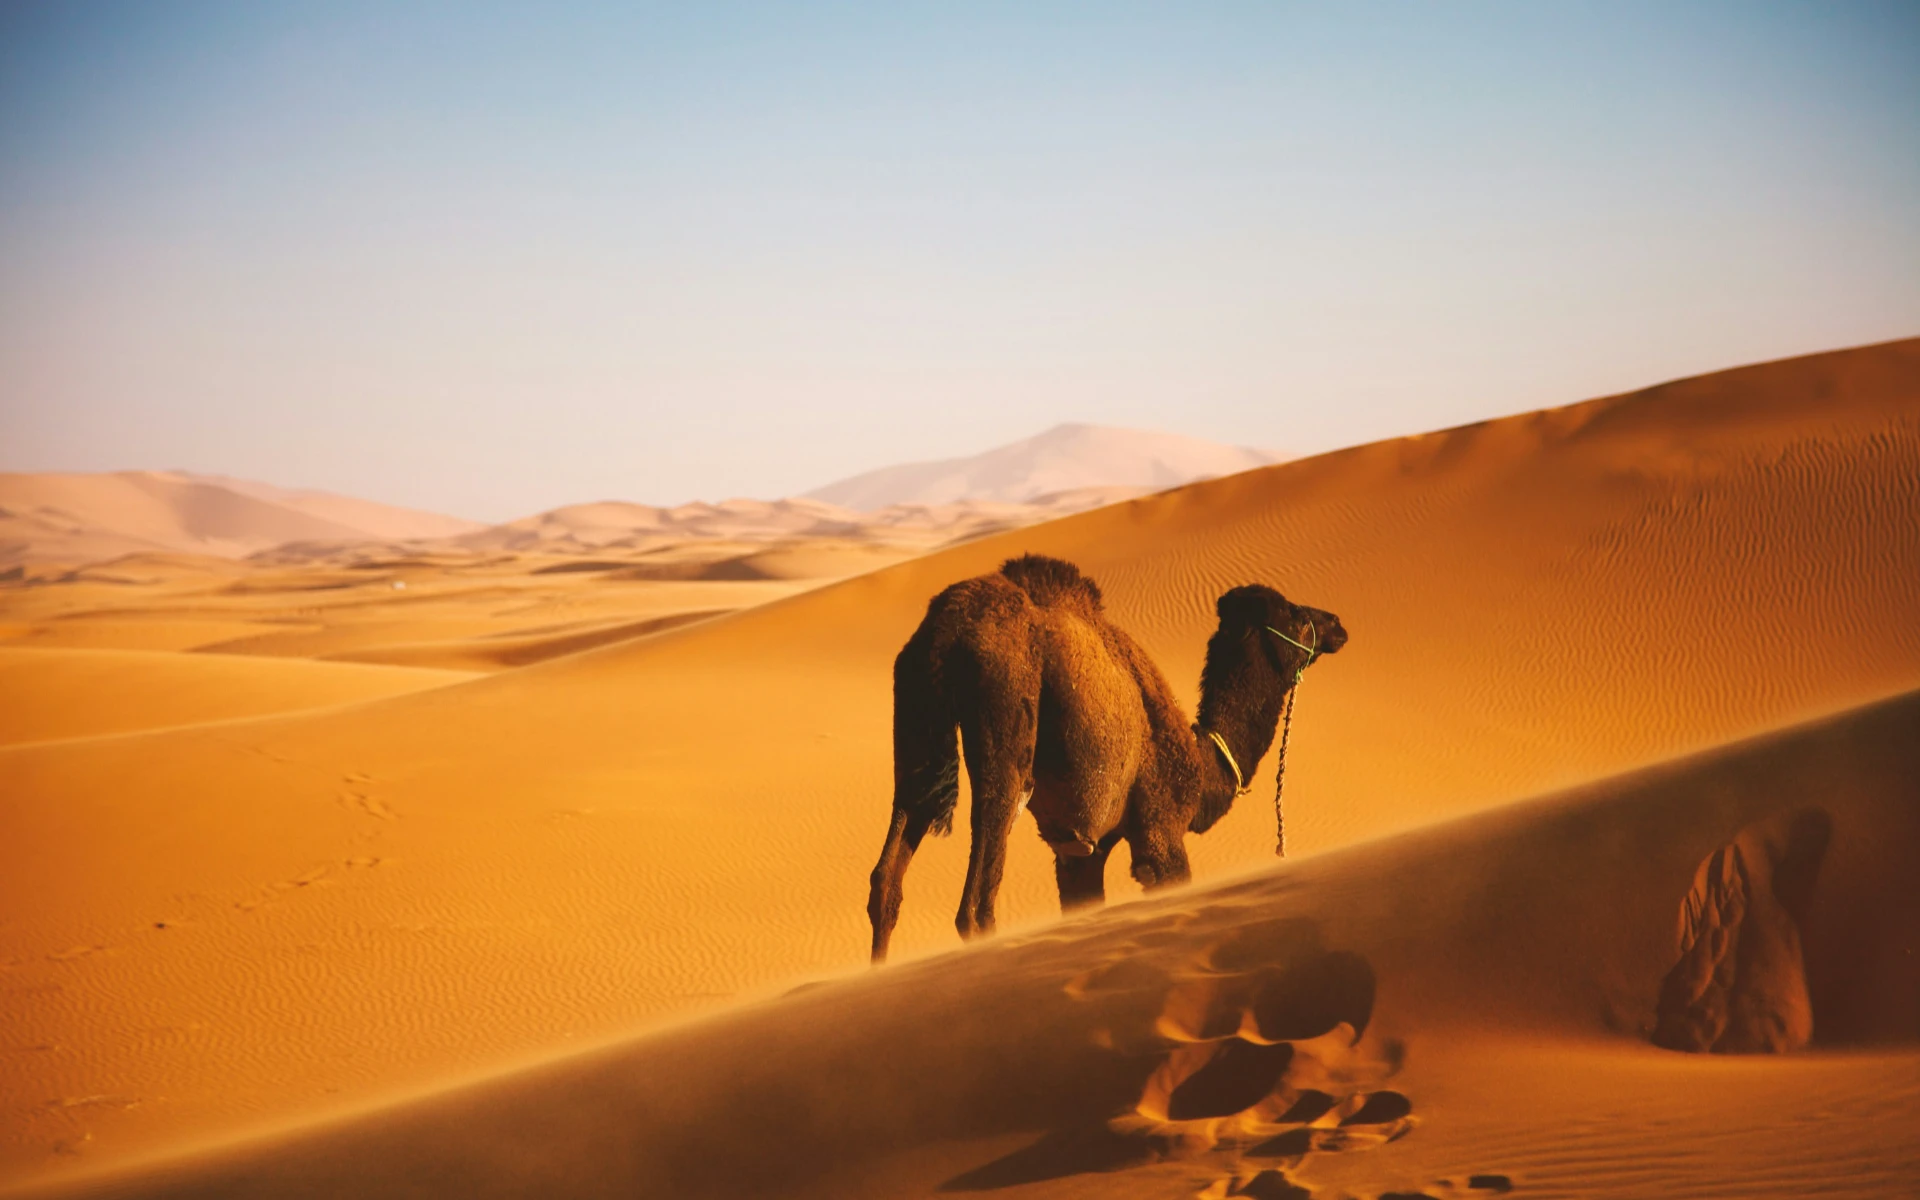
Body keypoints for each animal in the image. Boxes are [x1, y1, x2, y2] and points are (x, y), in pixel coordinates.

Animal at [867, 554, 1347, 962]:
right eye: (1297, 616)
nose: (1337, 623)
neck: (1199, 763)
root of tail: (947, 627)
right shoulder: (1158, 830)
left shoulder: (1081, 851)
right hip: (1004, 714)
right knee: (976, 904)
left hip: (915, 716)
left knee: (888, 877)